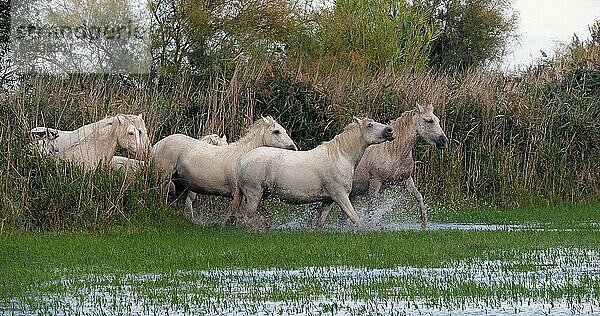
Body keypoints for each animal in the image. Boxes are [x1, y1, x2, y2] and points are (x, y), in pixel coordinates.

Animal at [231, 116, 394, 230]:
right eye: (370, 125)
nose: (390, 131)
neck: (341, 156)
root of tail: (241, 160)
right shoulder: (340, 196)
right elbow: (355, 219)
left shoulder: (328, 201)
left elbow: (319, 224)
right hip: (254, 193)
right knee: (248, 218)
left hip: (260, 195)